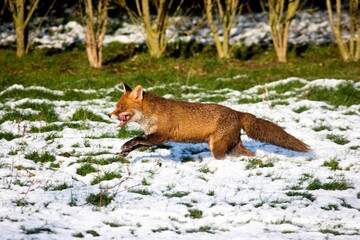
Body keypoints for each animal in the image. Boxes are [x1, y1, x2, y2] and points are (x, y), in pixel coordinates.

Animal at [109, 82, 310, 159]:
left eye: (121, 107)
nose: (109, 115)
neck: (151, 114)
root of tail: (237, 112)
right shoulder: (152, 137)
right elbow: (137, 144)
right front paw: (125, 152)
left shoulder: (159, 136)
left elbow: (136, 140)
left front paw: (125, 147)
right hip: (234, 147)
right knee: (249, 154)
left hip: (217, 147)